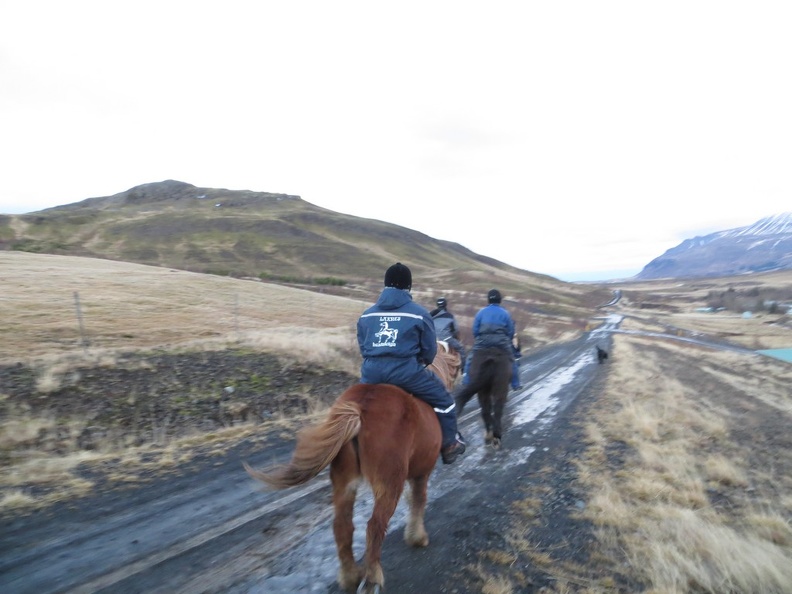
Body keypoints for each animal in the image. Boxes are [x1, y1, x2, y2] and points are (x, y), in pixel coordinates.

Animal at [244, 342, 460, 592]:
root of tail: (359, 408)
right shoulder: (421, 474)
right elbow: (419, 501)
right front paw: (417, 537)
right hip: (389, 483)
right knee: (375, 526)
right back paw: (372, 577)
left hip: (344, 481)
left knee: (342, 527)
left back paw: (350, 576)